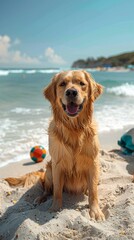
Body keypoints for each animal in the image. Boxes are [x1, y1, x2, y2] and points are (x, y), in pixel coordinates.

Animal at [5, 70, 104, 220]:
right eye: (62, 84)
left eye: (82, 83)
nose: (71, 92)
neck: (74, 128)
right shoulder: (57, 164)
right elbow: (57, 190)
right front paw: (55, 208)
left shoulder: (93, 162)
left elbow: (93, 191)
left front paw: (95, 211)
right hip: (49, 170)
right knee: (47, 190)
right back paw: (40, 198)